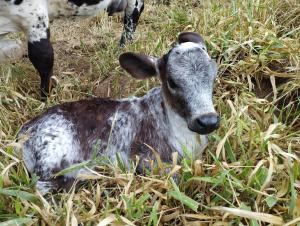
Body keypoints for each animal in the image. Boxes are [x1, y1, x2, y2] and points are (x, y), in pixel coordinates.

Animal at [17, 31, 219, 193]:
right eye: (172, 81)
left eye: (213, 75)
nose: (207, 121)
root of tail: (24, 131)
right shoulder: (146, 158)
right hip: (51, 159)